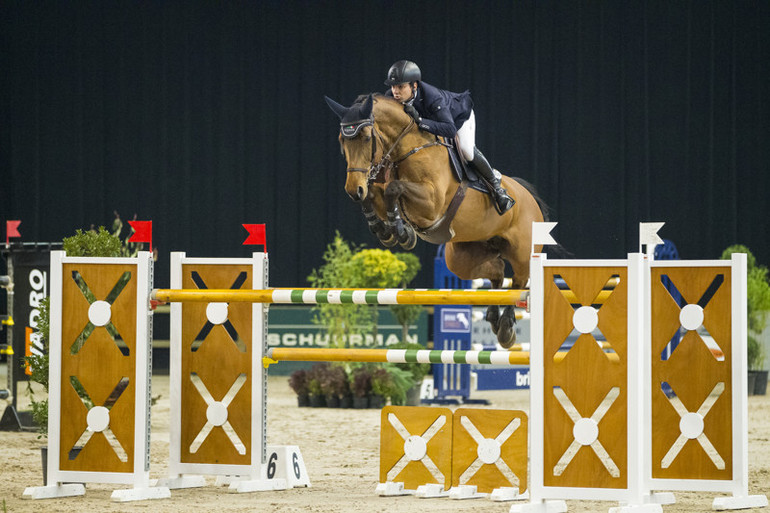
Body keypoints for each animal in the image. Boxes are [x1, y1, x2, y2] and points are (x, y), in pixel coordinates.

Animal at [324, 93, 544, 348]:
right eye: (342, 140)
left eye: (367, 138)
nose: (352, 190)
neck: (408, 149)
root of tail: (529, 197)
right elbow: (375, 193)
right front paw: (386, 230)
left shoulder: (431, 204)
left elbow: (392, 188)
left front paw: (401, 232)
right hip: (462, 258)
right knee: (498, 272)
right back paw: (492, 317)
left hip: (521, 252)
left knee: (519, 282)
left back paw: (506, 329)